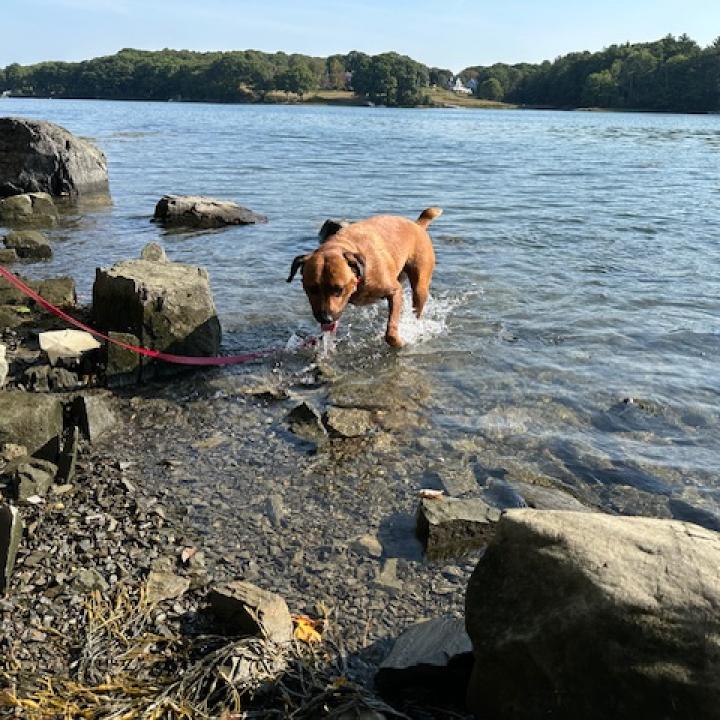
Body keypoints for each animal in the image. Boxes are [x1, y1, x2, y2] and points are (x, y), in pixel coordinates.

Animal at [286, 207, 438, 348]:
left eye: (338, 289)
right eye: (312, 289)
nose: (325, 318)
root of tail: (417, 225)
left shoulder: (395, 290)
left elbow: (391, 331)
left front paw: (399, 341)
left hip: (420, 285)